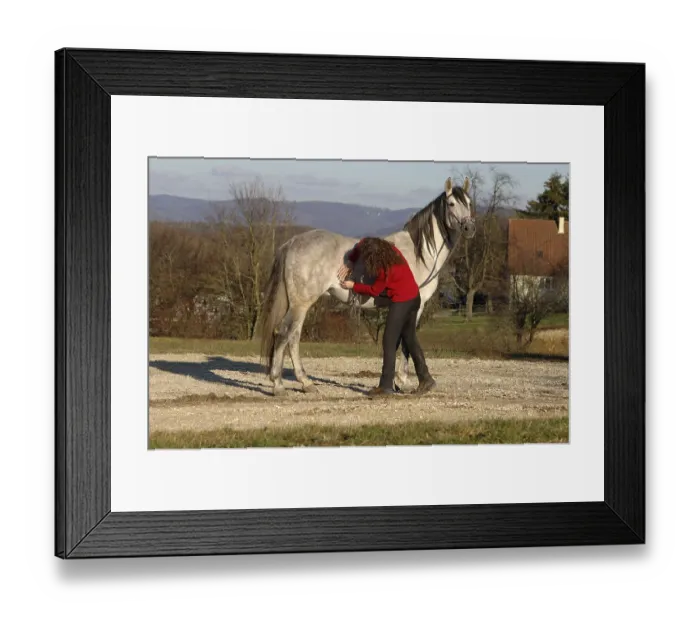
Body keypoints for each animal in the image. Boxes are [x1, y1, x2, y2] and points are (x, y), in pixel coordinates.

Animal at [257, 176, 476, 396]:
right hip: (301, 304)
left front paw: (396, 382)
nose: (469, 228)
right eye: (451, 204)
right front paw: (403, 380)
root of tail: (293, 242)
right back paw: (278, 385)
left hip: (300, 304)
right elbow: (406, 341)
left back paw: (306, 383)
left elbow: (399, 341)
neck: (419, 253)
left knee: (293, 337)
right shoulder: (416, 305)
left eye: (469, 203)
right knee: (284, 333)